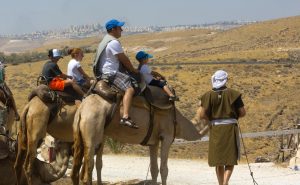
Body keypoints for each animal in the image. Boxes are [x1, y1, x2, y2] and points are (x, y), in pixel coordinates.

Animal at [71, 94, 210, 185]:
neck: (179, 123)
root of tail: (81, 110)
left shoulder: (154, 142)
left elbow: (154, 169)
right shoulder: (167, 137)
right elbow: (164, 170)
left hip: (89, 134)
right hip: (93, 129)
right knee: (88, 166)